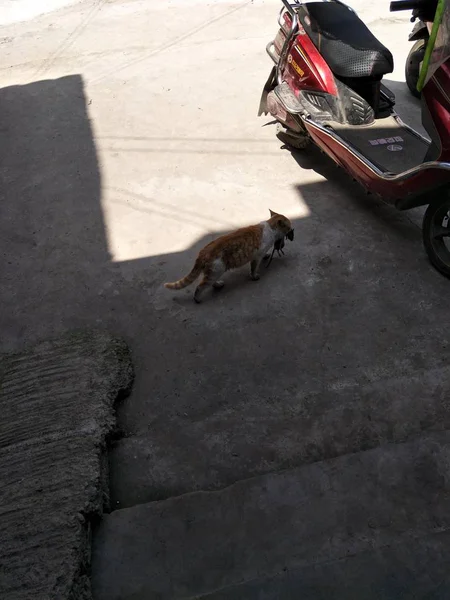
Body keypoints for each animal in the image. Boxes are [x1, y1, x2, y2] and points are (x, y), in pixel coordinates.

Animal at [163, 211, 294, 304]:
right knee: (201, 286)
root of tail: (202, 252)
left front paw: (266, 256)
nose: (293, 229)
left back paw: (218, 284)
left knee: (209, 282)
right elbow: (254, 268)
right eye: (289, 225)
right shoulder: (256, 257)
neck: (271, 228)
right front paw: (254, 276)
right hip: (217, 270)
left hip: (214, 272)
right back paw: (197, 299)